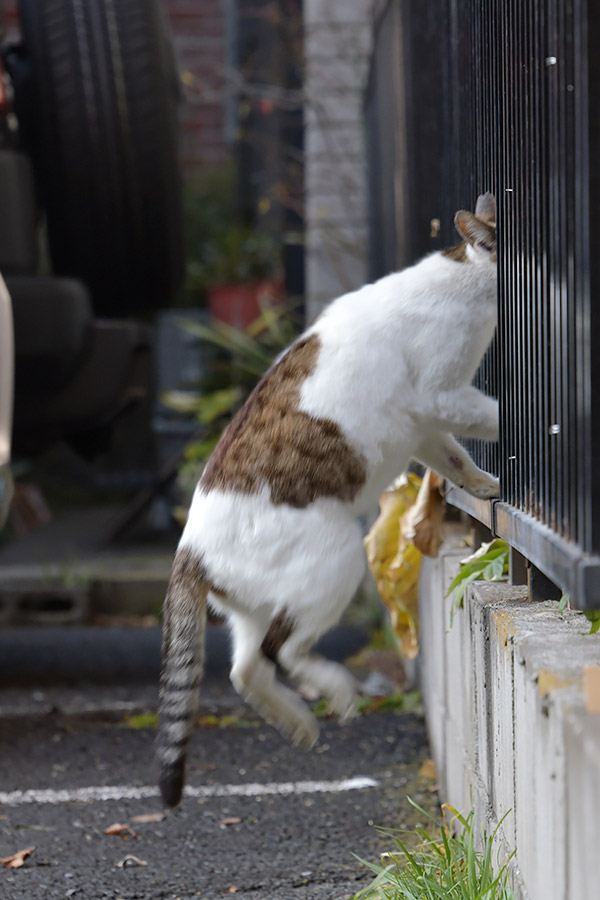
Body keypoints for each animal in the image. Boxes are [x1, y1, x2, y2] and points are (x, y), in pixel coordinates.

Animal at [157, 192, 500, 808]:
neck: (463, 276)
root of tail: (188, 553)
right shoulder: (442, 394)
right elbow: (493, 414)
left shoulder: (426, 429)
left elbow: (455, 459)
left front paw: (484, 487)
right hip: (336, 562)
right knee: (282, 652)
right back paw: (338, 692)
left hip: (255, 607)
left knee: (246, 668)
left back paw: (301, 723)